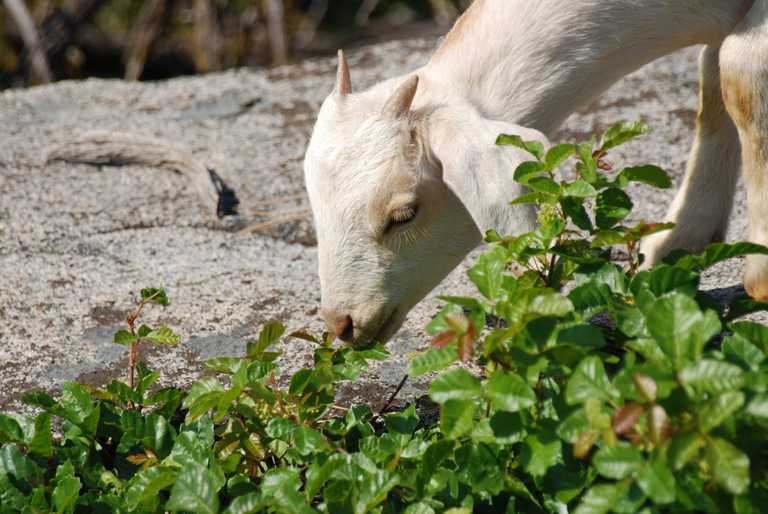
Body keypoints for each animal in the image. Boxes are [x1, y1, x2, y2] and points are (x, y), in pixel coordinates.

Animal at [304, 0, 764, 346]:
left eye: (404, 214)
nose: (341, 323)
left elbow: (738, 69)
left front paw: (759, 276)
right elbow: (713, 73)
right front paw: (680, 239)